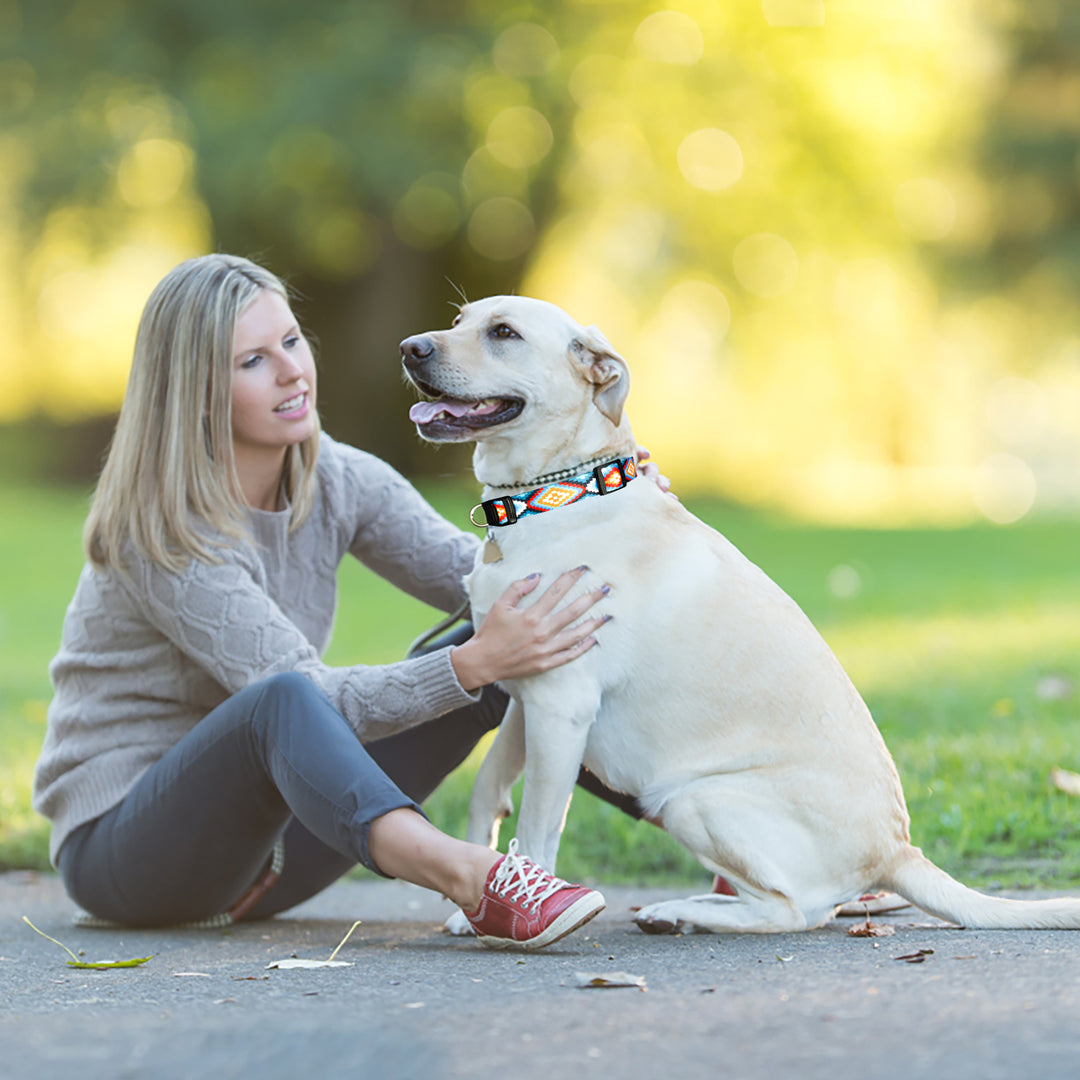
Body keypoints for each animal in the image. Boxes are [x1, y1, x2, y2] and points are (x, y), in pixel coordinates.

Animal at [401, 298, 1080, 937]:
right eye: (460, 321)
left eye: (504, 332)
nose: (411, 348)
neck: (554, 496)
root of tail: (897, 851)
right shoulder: (527, 693)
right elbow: (488, 788)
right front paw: (475, 898)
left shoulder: (561, 704)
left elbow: (542, 824)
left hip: (689, 799)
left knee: (793, 911)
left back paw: (681, 911)